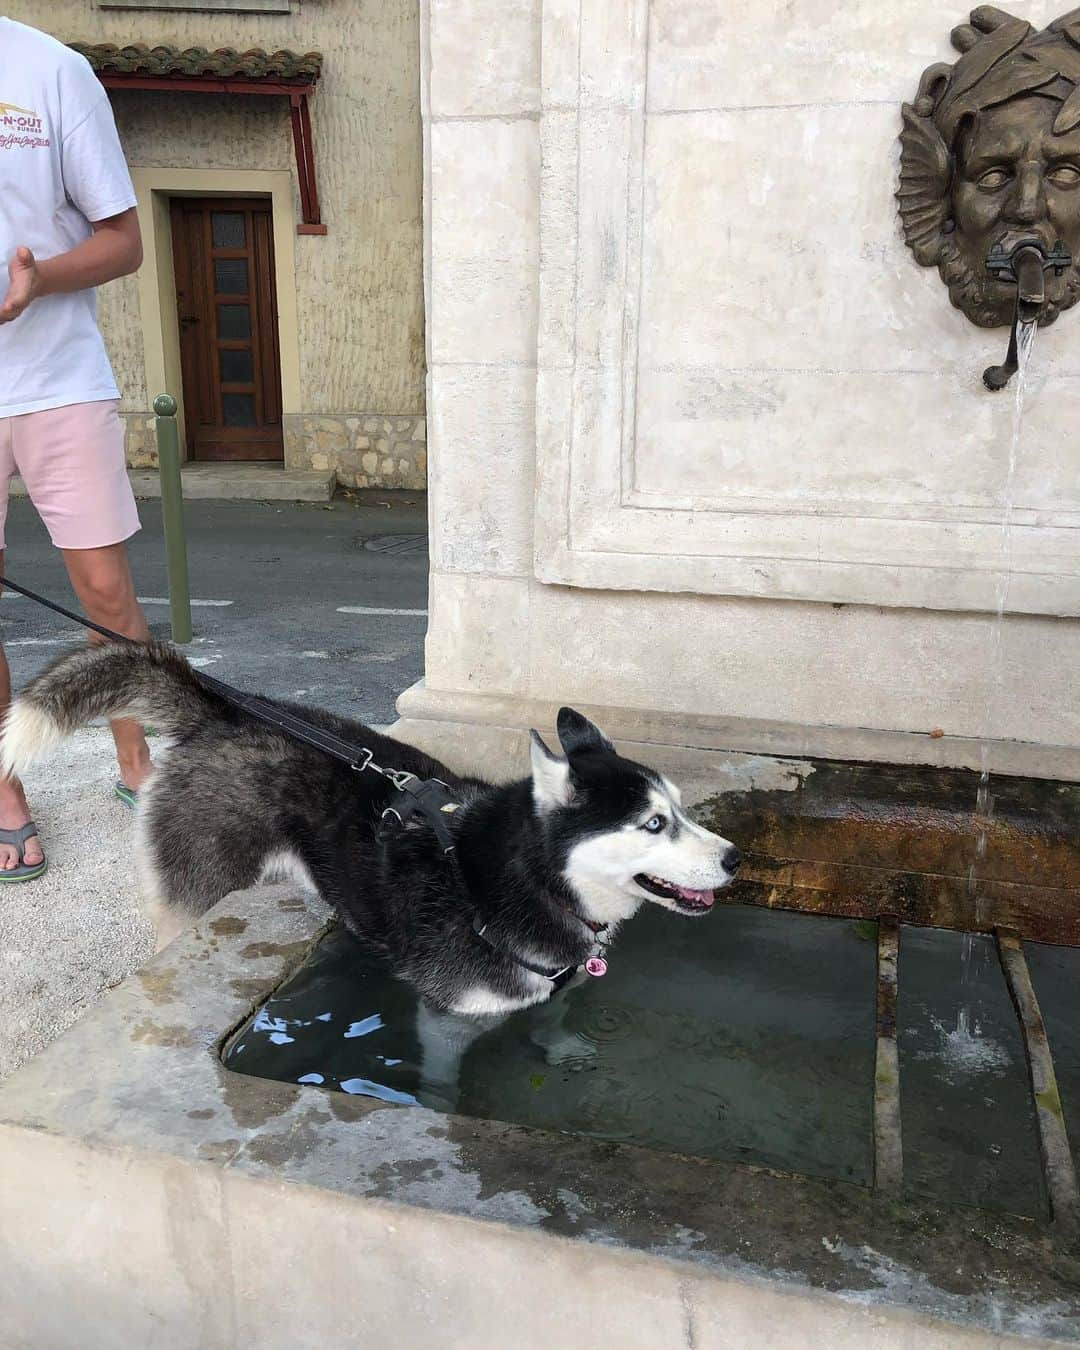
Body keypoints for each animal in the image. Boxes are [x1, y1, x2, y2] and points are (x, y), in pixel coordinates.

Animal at [0, 645, 739, 1020]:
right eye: (653, 823)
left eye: (682, 808)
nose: (735, 858)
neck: (512, 884)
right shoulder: (457, 1013)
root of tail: (224, 711)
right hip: (195, 890)